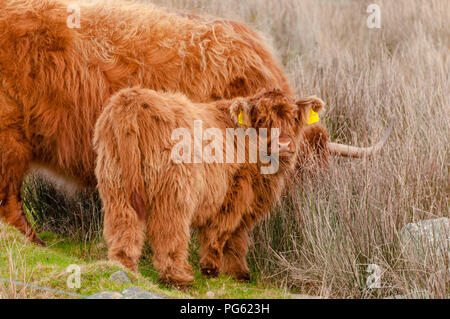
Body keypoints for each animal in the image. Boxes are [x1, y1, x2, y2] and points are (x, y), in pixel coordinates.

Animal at [94, 87, 324, 284]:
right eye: (262, 120)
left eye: (294, 118)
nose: (283, 144)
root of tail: (131, 98)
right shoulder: (234, 193)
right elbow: (221, 233)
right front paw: (212, 269)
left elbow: (236, 237)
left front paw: (238, 272)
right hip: (174, 190)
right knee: (169, 230)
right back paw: (179, 278)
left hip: (116, 184)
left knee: (124, 225)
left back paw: (123, 268)